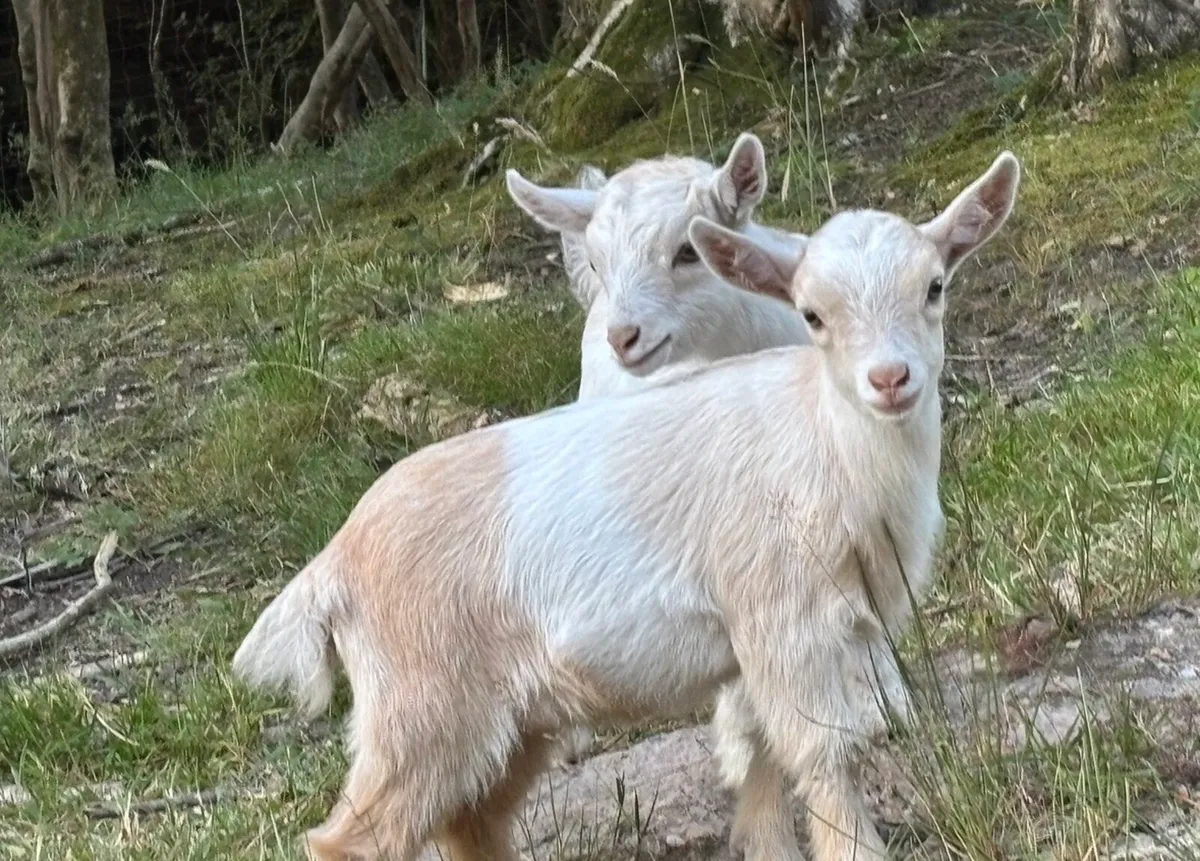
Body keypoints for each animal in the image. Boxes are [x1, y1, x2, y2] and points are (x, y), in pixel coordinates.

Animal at [232, 150, 1020, 861]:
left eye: (935, 286)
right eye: (812, 315)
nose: (890, 379)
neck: (823, 439)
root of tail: (333, 563)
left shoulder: (797, 638)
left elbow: (762, 757)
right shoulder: (780, 620)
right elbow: (823, 755)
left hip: (512, 718)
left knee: (471, 822)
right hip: (421, 706)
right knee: (349, 839)